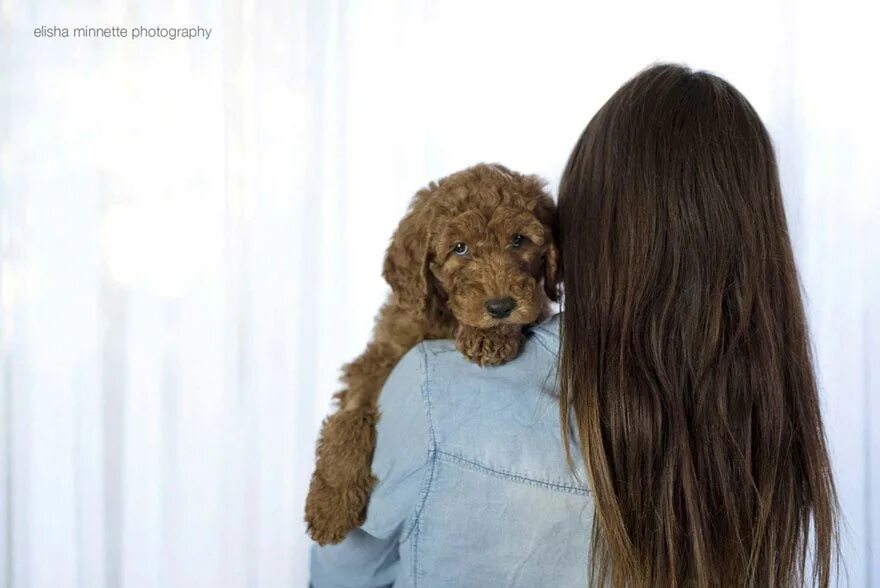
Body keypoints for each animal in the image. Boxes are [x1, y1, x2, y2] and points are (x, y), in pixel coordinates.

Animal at [306, 163, 560, 544]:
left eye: (519, 240)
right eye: (460, 248)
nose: (500, 306)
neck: (446, 318)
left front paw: (489, 335)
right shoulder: (377, 361)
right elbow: (350, 417)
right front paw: (331, 504)